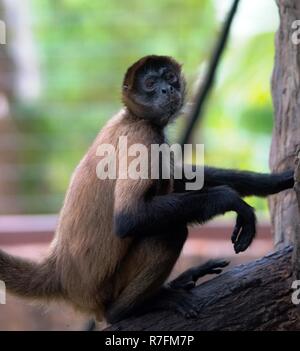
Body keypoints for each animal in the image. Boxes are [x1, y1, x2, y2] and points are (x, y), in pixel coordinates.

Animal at [0, 55, 294, 328]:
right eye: (150, 84)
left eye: (169, 77)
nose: (166, 89)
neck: (132, 116)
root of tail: (59, 267)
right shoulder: (142, 135)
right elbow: (129, 218)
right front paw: (232, 201)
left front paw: (273, 181)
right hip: (107, 289)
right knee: (170, 232)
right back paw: (129, 308)